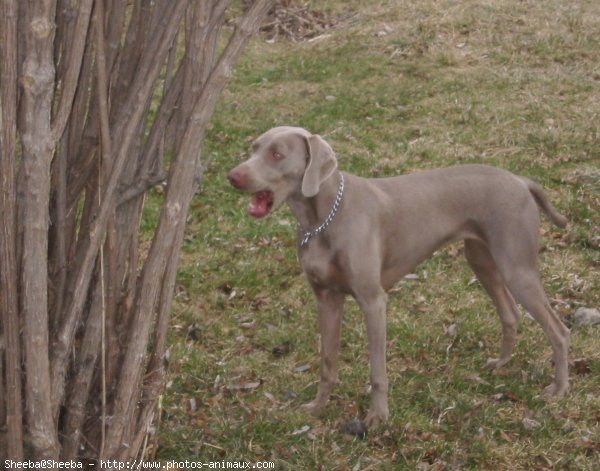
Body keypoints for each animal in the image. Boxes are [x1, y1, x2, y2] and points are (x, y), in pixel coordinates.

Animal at [227, 125, 568, 428]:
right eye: (253, 148)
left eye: (277, 154)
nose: (233, 176)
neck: (323, 219)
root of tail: (520, 180)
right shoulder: (326, 298)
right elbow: (327, 361)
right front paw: (319, 406)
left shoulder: (373, 301)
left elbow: (377, 371)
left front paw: (378, 417)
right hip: (482, 260)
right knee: (510, 313)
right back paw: (502, 363)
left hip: (516, 267)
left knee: (559, 330)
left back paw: (559, 389)